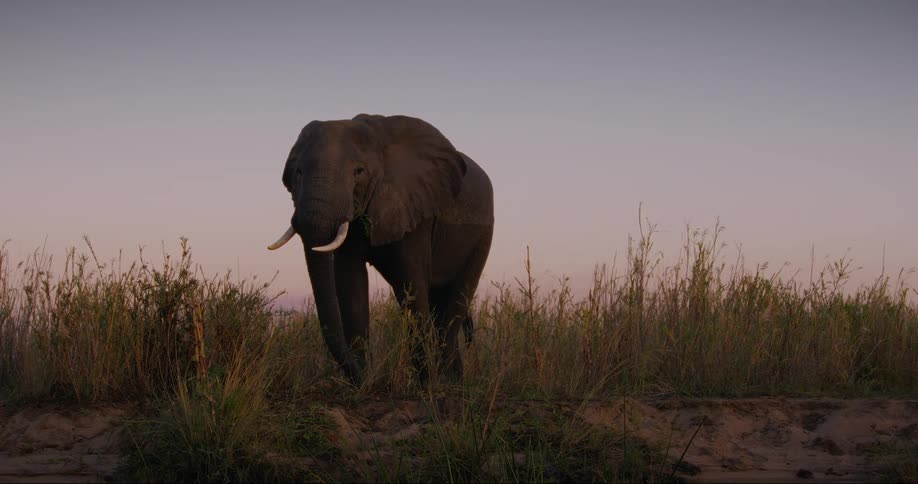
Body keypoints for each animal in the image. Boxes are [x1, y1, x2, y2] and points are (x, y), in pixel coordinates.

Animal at [267, 114, 494, 384]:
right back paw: (453, 378)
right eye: (297, 172)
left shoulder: (414, 207)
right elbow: (350, 285)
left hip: (483, 234)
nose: (365, 379)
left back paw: (451, 382)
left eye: (358, 171)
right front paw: (362, 384)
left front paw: (426, 384)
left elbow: (411, 284)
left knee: (456, 300)